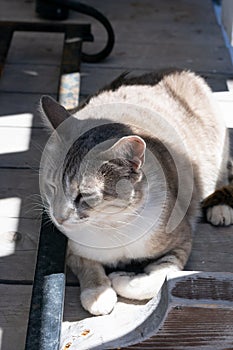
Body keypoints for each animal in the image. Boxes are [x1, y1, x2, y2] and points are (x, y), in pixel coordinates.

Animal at [39, 69, 233, 316]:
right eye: (51, 186)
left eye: (83, 195)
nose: (58, 217)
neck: (111, 226)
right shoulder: (70, 248)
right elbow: (87, 266)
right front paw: (97, 293)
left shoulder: (182, 239)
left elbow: (156, 281)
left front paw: (122, 279)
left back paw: (220, 208)